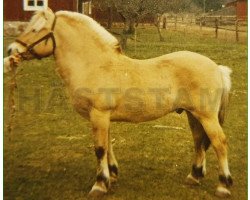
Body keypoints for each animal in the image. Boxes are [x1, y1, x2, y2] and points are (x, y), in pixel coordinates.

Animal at [5, 8, 232, 198]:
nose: (10, 51)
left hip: (206, 116)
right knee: (199, 141)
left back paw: (224, 185)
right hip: (192, 115)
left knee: (219, 143)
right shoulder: (102, 118)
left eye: (36, 29)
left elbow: (99, 148)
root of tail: (217, 67)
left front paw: (99, 184)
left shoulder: (99, 114)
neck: (95, 65)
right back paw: (194, 176)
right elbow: (107, 146)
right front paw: (112, 176)